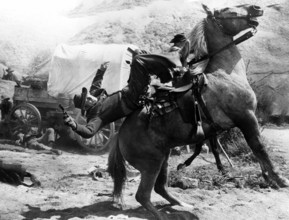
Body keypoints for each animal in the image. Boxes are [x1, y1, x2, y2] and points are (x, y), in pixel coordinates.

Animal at [107, 3, 286, 220]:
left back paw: (182, 204)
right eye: (227, 9)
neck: (226, 75)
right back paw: (164, 215)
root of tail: (120, 133)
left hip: (163, 157)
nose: (256, 7)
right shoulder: (246, 118)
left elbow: (255, 150)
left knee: (160, 188)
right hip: (152, 163)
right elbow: (259, 147)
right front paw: (278, 178)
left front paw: (268, 177)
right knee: (143, 195)